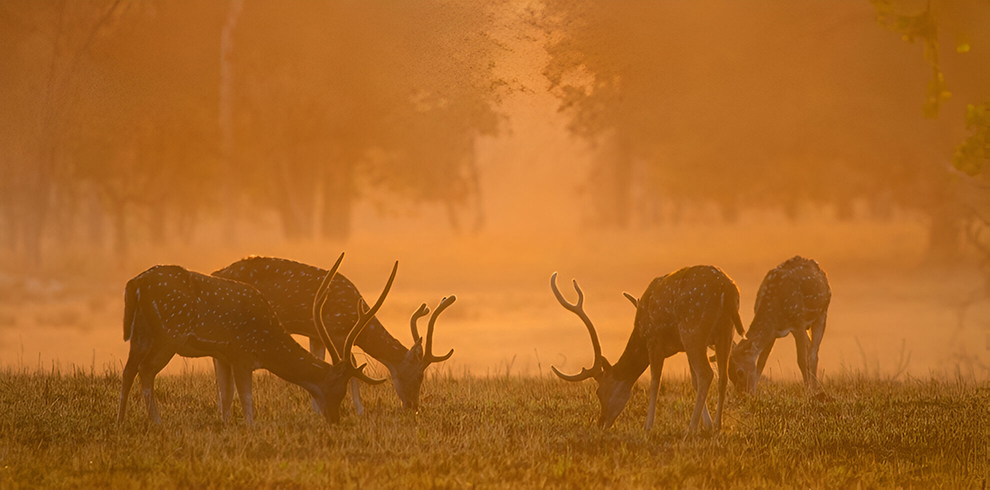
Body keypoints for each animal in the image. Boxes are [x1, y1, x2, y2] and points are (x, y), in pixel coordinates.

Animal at [116, 253, 396, 424]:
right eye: (337, 390)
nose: (335, 420)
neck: (266, 345)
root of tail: (134, 285)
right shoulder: (241, 354)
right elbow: (246, 398)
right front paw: (250, 428)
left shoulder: (223, 355)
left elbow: (226, 394)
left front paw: (226, 424)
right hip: (168, 333)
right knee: (145, 370)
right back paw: (157, 421)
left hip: (139, 334)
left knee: (128, 370)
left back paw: (121, 420)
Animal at [215, 256, 460, 414]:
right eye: (419, 376)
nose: (413, 407)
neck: (355, 315)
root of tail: (216, 272)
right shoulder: (337, 330)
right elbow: (351, 366)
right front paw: (359, 410)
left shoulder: (316, 334)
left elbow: (320, 359)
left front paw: (316, 409)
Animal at [552, 266, 744, 434]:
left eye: (598, 392)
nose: (601, 423)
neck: (640, 334)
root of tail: (727, 289)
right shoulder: (683, 347)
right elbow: (693, 382)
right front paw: (708, 424)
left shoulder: (654, 340)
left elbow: (655, 381)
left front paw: (648, 426)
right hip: (725, 333)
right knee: (722, 376)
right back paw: (718, 425)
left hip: (692, 329)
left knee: (707, 373)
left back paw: (690, 429)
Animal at [724, 256, 832, 398]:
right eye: (730, 375)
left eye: (740, 372)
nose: (744, 394)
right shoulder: (773, 332)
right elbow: (762, 361)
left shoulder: (799, 322)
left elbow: (802, 361)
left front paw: (807, 392)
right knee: (810, 347)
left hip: (822, 313)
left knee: (813, 353)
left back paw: (815, 389)